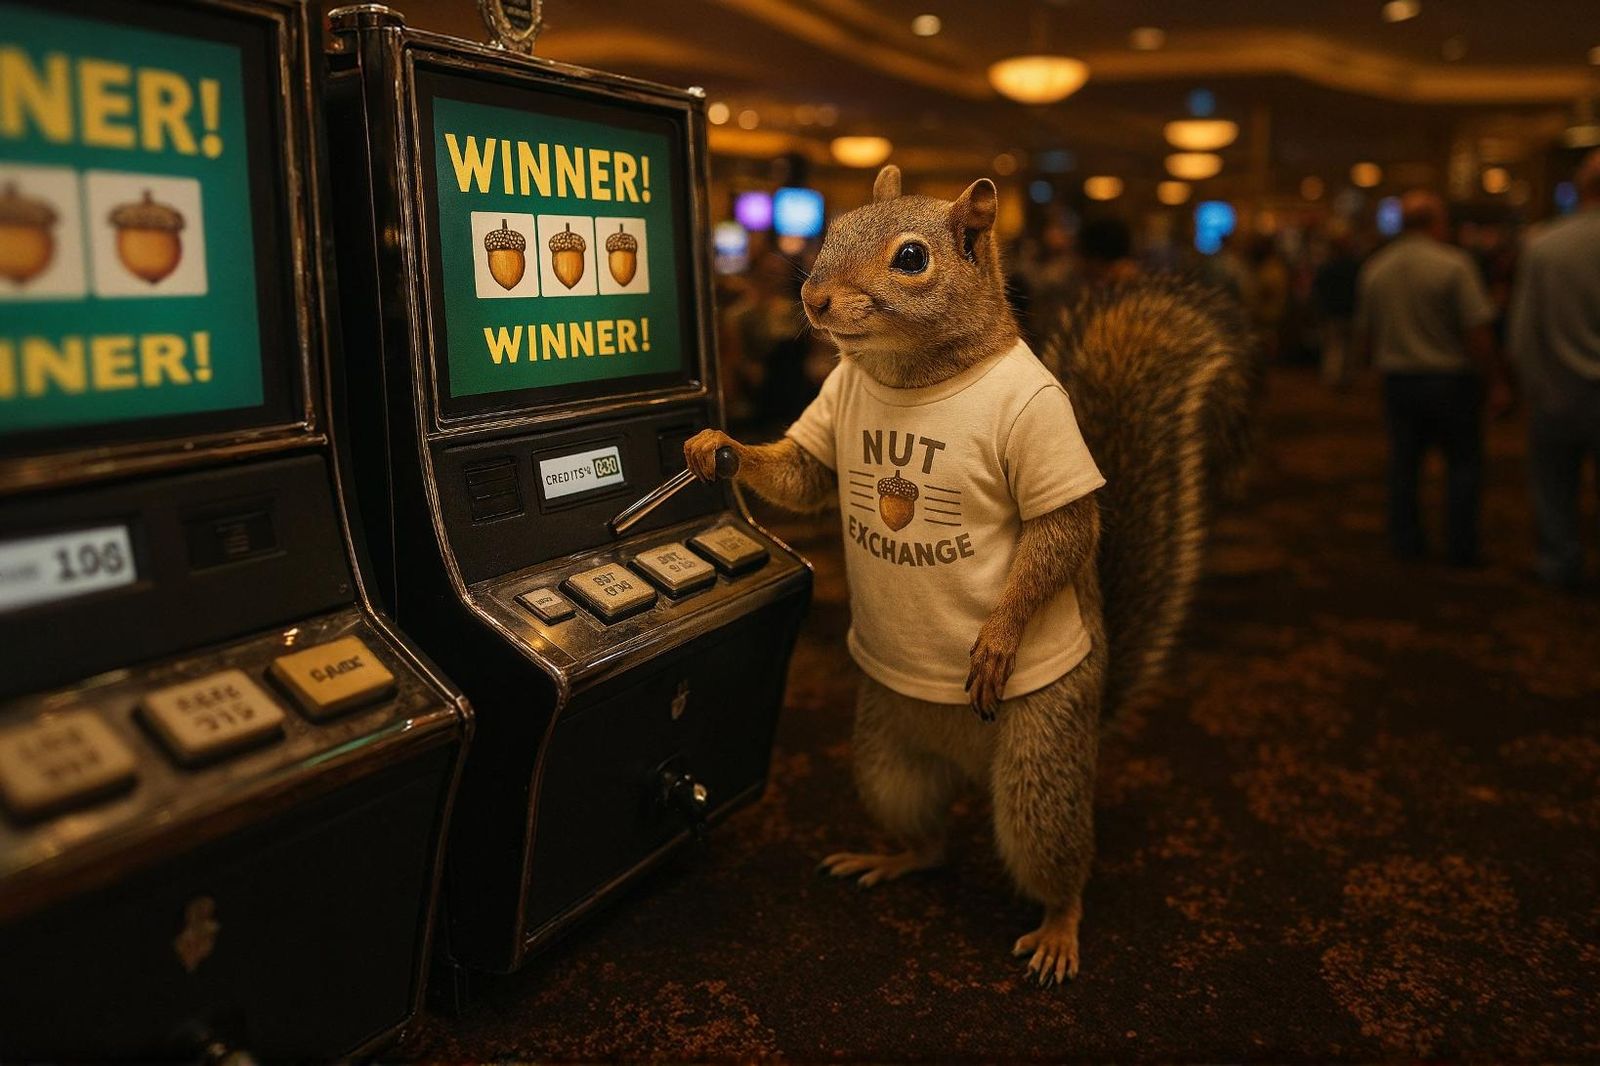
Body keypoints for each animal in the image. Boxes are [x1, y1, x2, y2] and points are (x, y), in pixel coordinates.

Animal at [686, 165, 1251, 986]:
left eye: (912, 258)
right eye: (832, 229)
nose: (814, 299)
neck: (913, 376)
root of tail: (966, 764)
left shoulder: (1045, 435)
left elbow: (1058, 536)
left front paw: (995, 641)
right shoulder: (828, 417)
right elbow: (802, 478)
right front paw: (717, 447)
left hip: (1039, 769)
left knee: (1058, 863)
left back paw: (1057, 932)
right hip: (885, 759)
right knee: (931, 841)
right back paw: (888, 858)